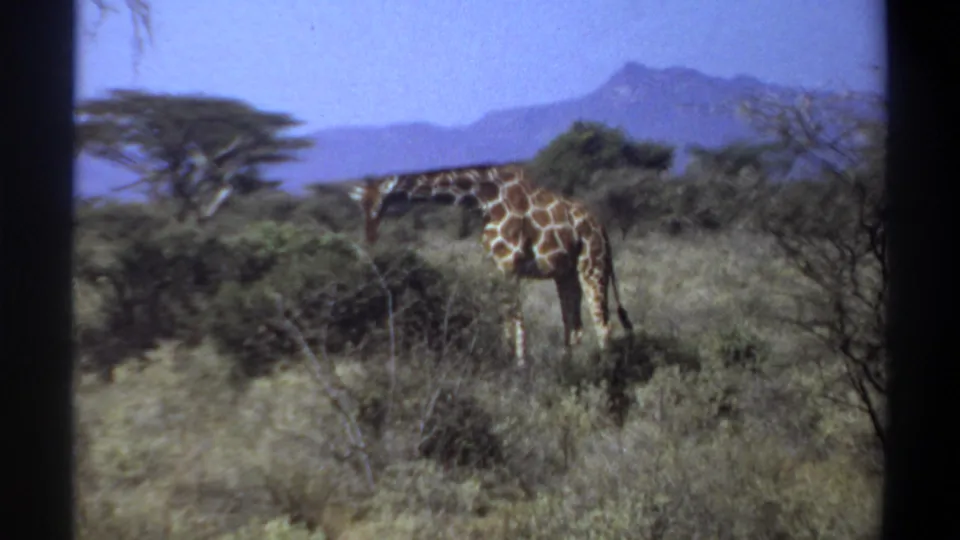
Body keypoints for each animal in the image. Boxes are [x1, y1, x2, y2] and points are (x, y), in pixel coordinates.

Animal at [347, 162, 634, 367]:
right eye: (361, 207)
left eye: (377, 205)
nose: (369, 239)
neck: (482, 197)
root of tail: (602, 228)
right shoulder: (497, 265)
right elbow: (506, 316)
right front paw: (509, 361)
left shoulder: (510, 263)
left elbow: (516, 318)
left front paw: (520, 367)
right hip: (566, 274)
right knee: (574, 327)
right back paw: (569, 369)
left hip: (592, 265)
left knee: (603, 324)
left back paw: (606, 372)